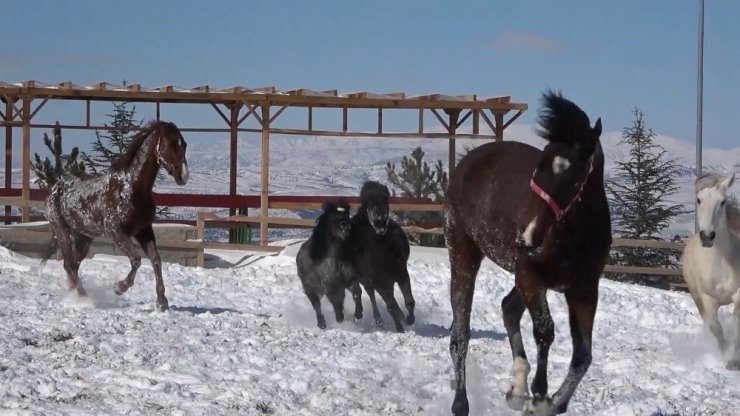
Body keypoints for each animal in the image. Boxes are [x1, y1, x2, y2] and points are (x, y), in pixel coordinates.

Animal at [43, 120, 189, 312]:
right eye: (170, 143)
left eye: (184, 144)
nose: (183, 176)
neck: (131, 188)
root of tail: (55, 188)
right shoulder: (116, 233)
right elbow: (136, 259)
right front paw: (119, 287)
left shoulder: (144, 231)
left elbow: (156, 260)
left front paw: (162, 301)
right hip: (62, 231)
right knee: (68, 264)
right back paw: (85, 299)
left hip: (84, 237)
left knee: (73, 265)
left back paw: (77, 294)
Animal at [296, 200, 362, 330]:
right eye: (333, 214)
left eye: (347, 213)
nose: (346, 226)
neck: (336, 260)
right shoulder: (330, 285)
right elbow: (337, 302)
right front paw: (340, 318)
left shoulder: (350, 279)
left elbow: (357, 293)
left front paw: (358, 316)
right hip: (309, 288)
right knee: (316, 305)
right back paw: (322, 324)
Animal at [348, 180, 414, 334]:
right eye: (369, 203)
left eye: (385, 199)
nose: (379, 216)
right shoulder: (379, 281)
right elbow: (390, 306)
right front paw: (400, 328)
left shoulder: (401, 274)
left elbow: (409, 301)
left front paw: (409, 319)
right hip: (364, 279)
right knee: (360, 293)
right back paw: (361, 317)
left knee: (372, 294)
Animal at [446, 89, 612, 414]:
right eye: (540, 166)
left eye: (575, 176)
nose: (527, 237)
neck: (574, 235)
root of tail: (467, 162)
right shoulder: (530, 276)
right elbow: (545, 331)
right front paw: (539, 393)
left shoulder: (584, 291)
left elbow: (582, 356)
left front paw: (549, 401)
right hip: (463, 254)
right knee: (460, 336)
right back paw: (462, 403)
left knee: (508, 308)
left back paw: (517, 390)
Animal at [684, 172, 740, 370]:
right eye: (699, 200)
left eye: (722, 201)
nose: (707, 237)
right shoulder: (707, 299)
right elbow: (716, 328)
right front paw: (724, 354)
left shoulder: (739, 295)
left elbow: (737, 324)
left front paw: (734, 360)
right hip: (696, 297)